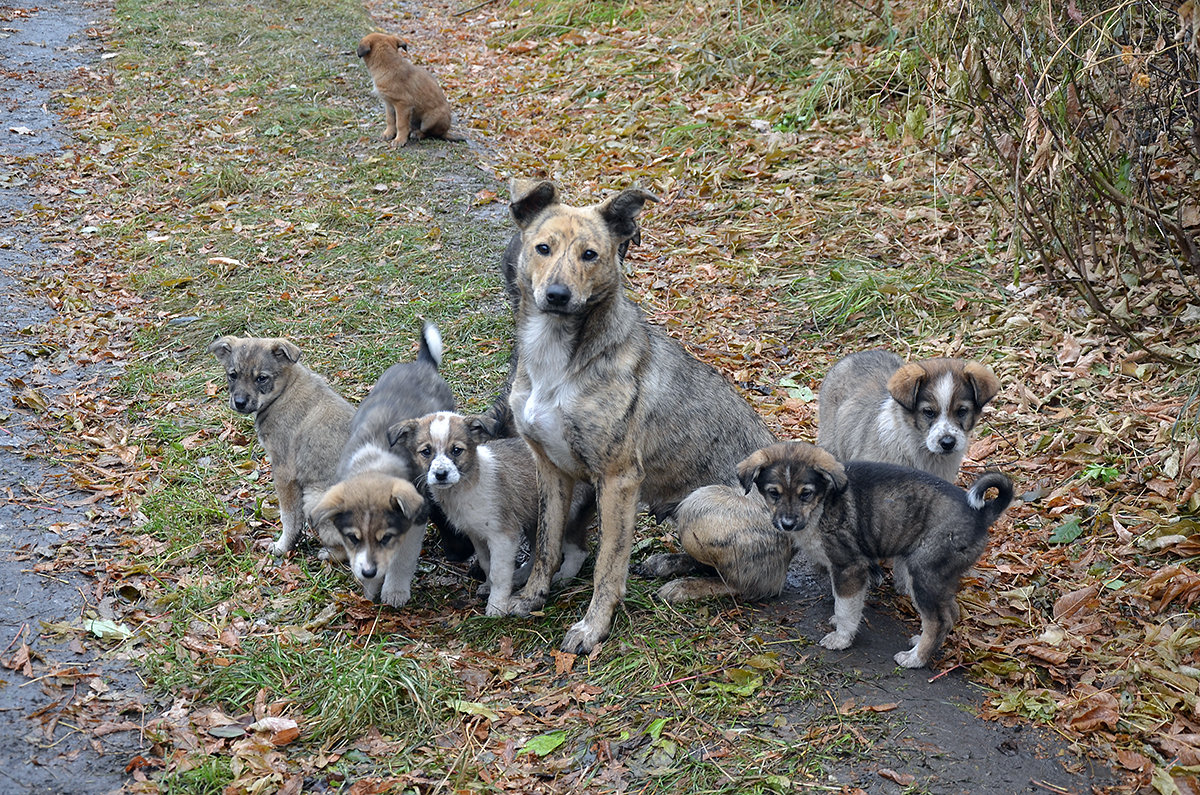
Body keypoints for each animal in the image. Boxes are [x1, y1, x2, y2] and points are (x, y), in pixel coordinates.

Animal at [207, 336, 350, 559]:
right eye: (233, 375)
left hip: (315, 498)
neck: (283, 392)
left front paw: (283, 547)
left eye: (261, 378)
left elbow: (289, 517)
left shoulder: (284, 472)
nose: (239, 402)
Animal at [388, 410, 590, 614]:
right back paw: (521, 576)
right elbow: (487, 564)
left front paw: (497, 605)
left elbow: (499, 573)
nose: (441, 474)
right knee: (537, 552)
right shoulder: (477, 534)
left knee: (578, 551)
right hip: (536, 520)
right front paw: (488, 587)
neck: (468, 485)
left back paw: (562, 577)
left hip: (565, 515)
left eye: (456, 450)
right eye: (426, 452)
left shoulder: (503, 536)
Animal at [499, 180, 772, 653]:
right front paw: (533, 597)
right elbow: (546, 546)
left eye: (590, 254)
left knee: (753, 584)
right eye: (543, 248)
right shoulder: (551, 470)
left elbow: (607, 564)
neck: (558, 356)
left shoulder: (618, 481)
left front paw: (593, 629)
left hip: (702, 506)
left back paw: (685, 588)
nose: (557, 296)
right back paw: (671, 563)